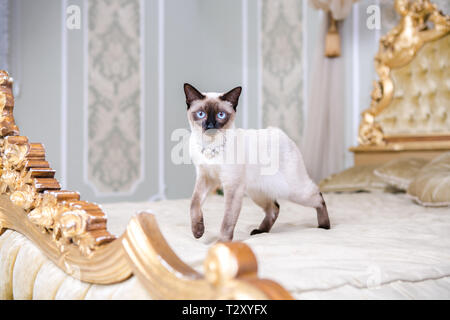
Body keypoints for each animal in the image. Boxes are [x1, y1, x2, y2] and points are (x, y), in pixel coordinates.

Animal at [183, 84, 330, 241]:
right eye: (201, 114)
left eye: (221, 115)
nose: (210, 125)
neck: (210, 146)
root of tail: (279, 132)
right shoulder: (206, 178)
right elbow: (193, 203)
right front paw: (198, 232)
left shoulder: (232, 186)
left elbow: (227, 221)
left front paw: (221, 243)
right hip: (256, 192)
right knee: (274, 208)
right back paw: (260, 231)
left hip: (294, 191)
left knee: (318, 196)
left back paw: (324, 227)